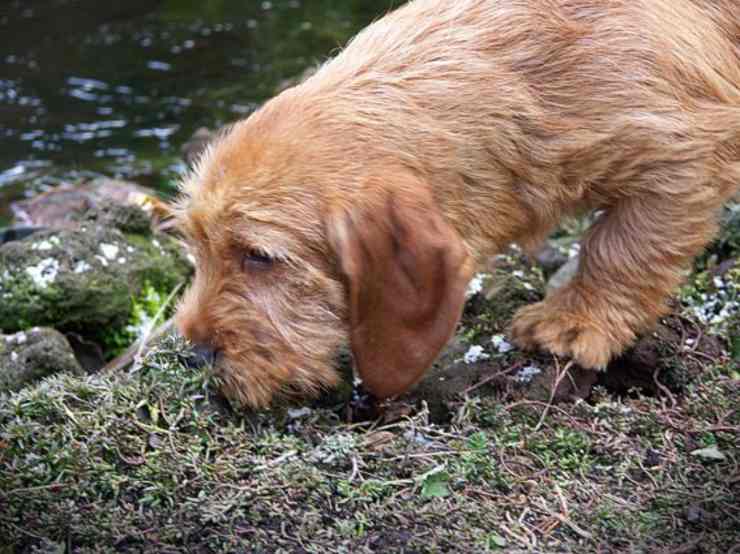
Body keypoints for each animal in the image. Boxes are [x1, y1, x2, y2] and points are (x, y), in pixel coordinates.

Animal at [175, 0, 740, 406]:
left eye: (260, 256)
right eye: (198, 249)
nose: (194, 356)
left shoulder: (681, 155)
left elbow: (622, 246)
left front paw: (578, 320)